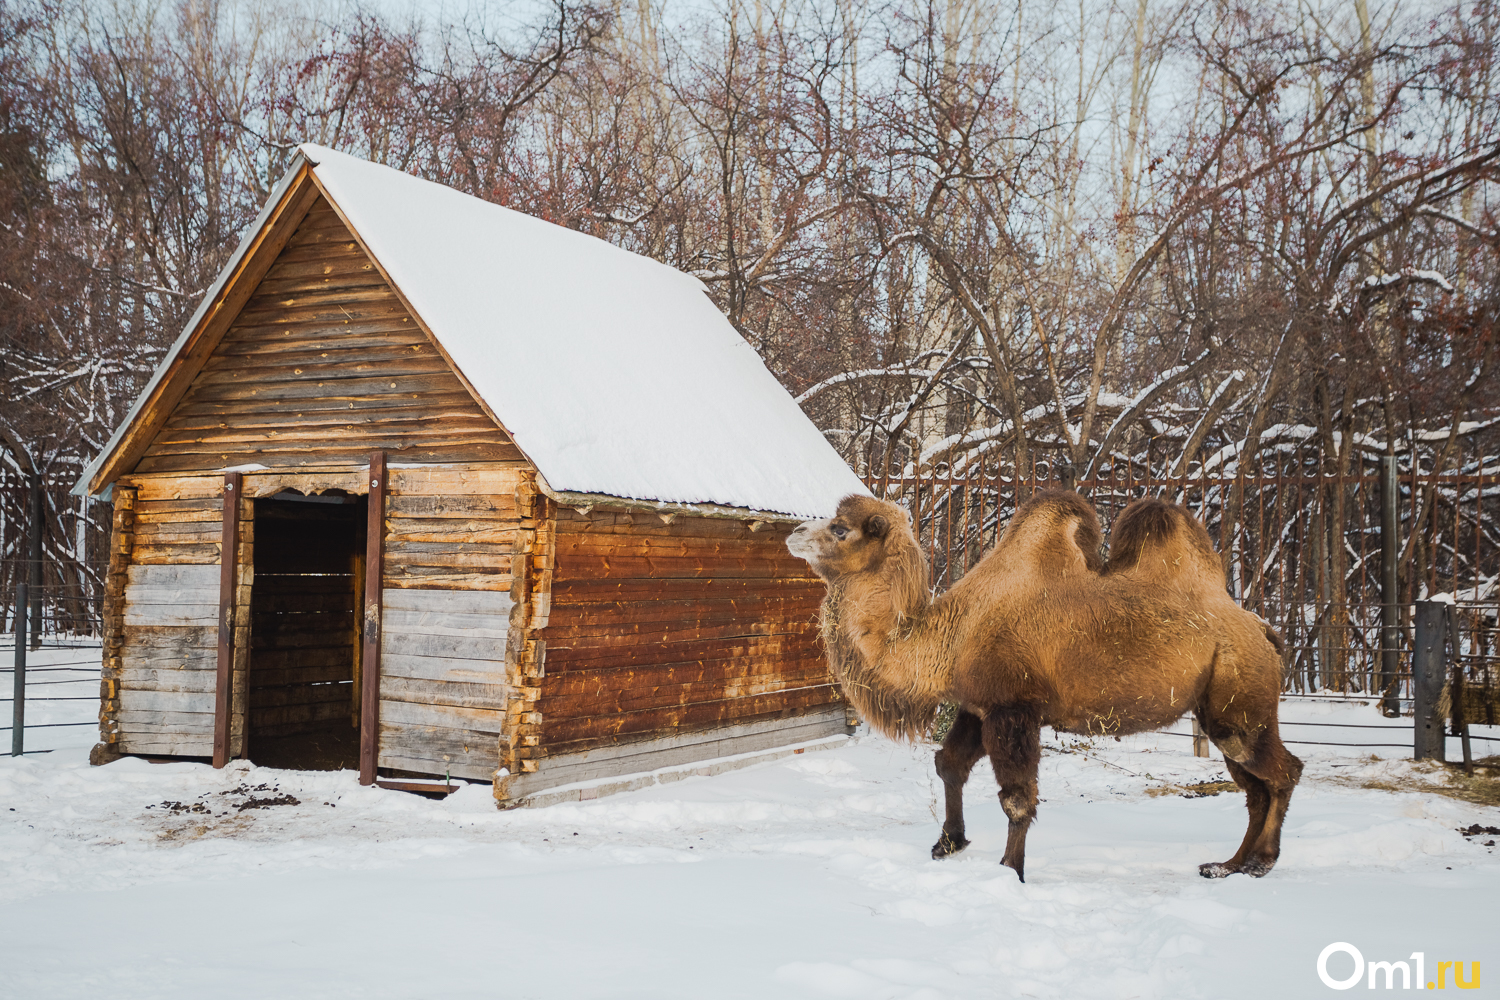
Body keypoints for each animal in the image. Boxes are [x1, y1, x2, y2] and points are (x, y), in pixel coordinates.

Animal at [786, 488, 1302, 881]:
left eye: (840, 528)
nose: (793, 533)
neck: (952, 635)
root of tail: (1266, 632)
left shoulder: (1014, 708)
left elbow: (1016, 800)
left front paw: (1008, 872)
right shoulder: (978, 706)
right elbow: (949, 764)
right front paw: (949, 843)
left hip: (1239, 703)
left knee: (1283, 772)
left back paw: (1261, 863)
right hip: (1219, 710)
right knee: (1254, 786)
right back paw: (1227, 865)